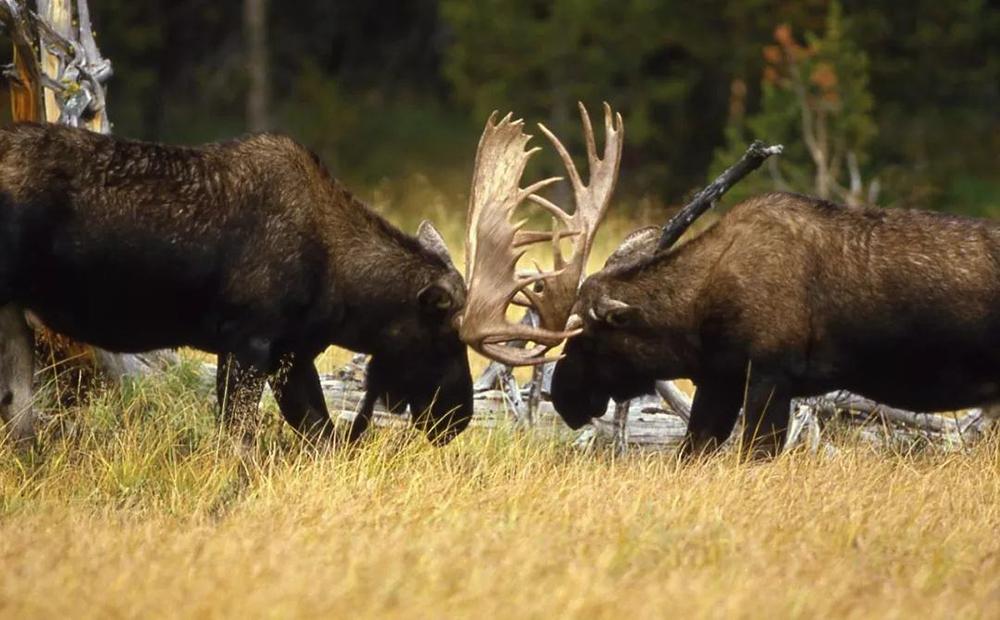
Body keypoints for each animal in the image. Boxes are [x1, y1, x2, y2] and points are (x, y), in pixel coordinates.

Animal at [0, 121, 472, 444]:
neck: (345, 296)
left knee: (18, 411)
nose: (460, 417)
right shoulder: (248, 341)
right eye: (446, 339)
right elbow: (240, 441)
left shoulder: (289, 353)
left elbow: (322, 436)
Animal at [460, 104, 1000, 458]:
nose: (566, 395)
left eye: (589, 337)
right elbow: (691, 451)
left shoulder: (770, 374)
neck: (698, 320)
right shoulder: (719, 379)